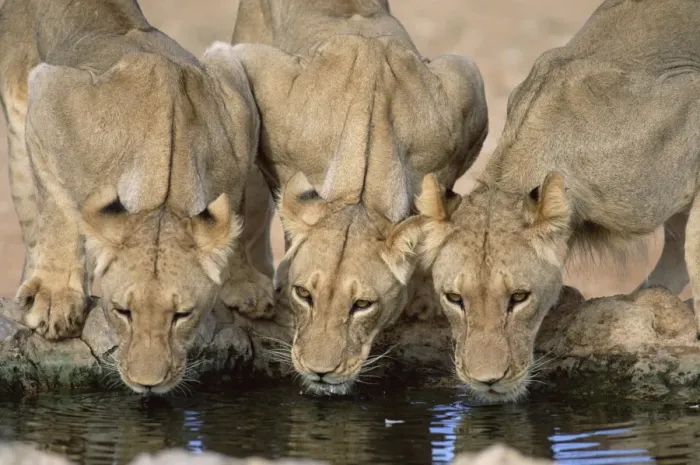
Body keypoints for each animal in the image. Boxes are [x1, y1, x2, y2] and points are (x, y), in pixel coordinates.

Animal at [0, 0, 273, 394]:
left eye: (182, 315)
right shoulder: (48, 97)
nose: (148, 384)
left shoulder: (239, 108)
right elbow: (59, 209)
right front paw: (56, 299)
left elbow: (232, 215)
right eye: (122, 311)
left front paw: (244, 284)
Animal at [230, 0, 488, 395]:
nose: (319, 372)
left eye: (362, 305)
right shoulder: (251, 67)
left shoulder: (465, 91)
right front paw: (247, 288)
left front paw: (426, 295)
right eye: (304, 294)